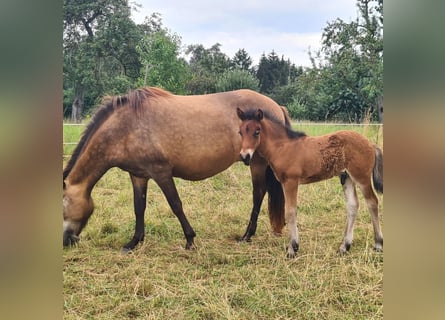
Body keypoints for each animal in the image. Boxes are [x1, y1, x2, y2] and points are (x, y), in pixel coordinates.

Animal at [64, 86, 290, 251]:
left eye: (63, 206)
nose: (66, 241)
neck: (126, 127)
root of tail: (276, 106)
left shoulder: (161, 172)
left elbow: (176, 204)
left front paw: (190, 240)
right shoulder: (138, 175)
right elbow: (139, 207)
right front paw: (134, 242)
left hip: (257, 163)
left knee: (258, 194)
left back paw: (246, 235)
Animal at [236, 107, 382, 258]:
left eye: (257, 131)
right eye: (240, 132)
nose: (245, 156)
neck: (283, 147)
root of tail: (371, 144)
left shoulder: (291, 182)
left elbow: (290, 211)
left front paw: (292, 248)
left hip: (361, 177)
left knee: (372, 202)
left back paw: (378, 244)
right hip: (347, 177)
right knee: (353, 205)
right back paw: (344, 247)